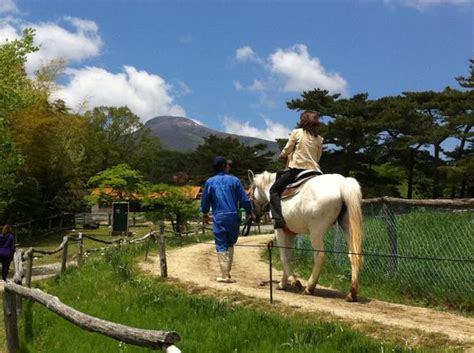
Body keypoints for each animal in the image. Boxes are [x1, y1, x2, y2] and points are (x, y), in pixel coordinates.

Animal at [248, 170, 362, 300]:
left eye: (250, 194)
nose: (254, 216)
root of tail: (342, 183)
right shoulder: (290, 233)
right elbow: (288, 255)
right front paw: (283, 283)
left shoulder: (280, 231)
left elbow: (284, 256)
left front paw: (293, 281)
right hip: (348, 227)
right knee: (354, 255)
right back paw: (352, 293)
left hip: (316, 231)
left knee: (320, 256)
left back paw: (309, 287)